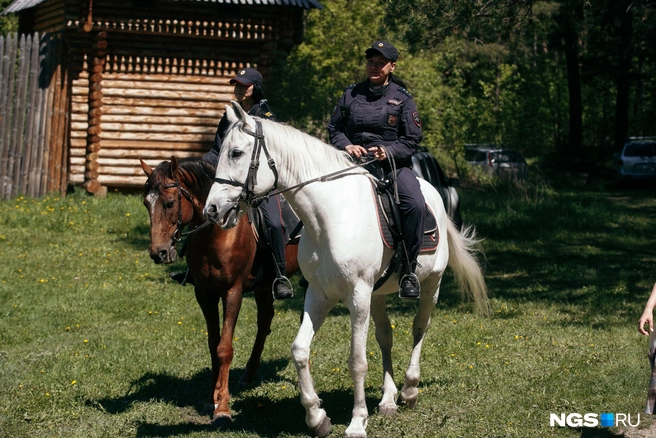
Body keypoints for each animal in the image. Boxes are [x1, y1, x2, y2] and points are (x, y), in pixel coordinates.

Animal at [142, 157, 302, 424]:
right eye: (146, 204)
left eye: (170, 202)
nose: (158, 253)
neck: (215, 235)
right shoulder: (204, 294)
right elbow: (212, 344)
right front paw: (211, 398)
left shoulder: (232, 292)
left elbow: (224, 348)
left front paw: (223, 408)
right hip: (263, 287)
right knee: (264, 322)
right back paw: (248, 375)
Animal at [204, 102, 486, 438]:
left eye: (235, 153)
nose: (212, 209)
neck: (331, 215)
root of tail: (436, 196)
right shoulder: (320, 293)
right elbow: (300, 350)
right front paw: (317, 418)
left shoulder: (358, 295)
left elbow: (357, 360)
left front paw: (356, 422)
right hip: (378, 294)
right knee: (385, 336)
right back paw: (388, 400)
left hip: (431, 284)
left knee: (419, 328)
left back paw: (409, 391)